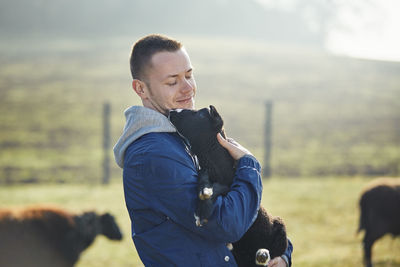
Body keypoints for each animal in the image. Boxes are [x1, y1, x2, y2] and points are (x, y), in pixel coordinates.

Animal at [169, 106, 288, 267]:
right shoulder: (205, 172)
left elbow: (221, 188)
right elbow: (203, 178)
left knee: (273, 254)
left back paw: (262, 255)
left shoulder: (230, 186)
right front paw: (204, 192)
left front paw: (202, 210)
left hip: (280, 228)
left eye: (197, 114)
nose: (171, 111)